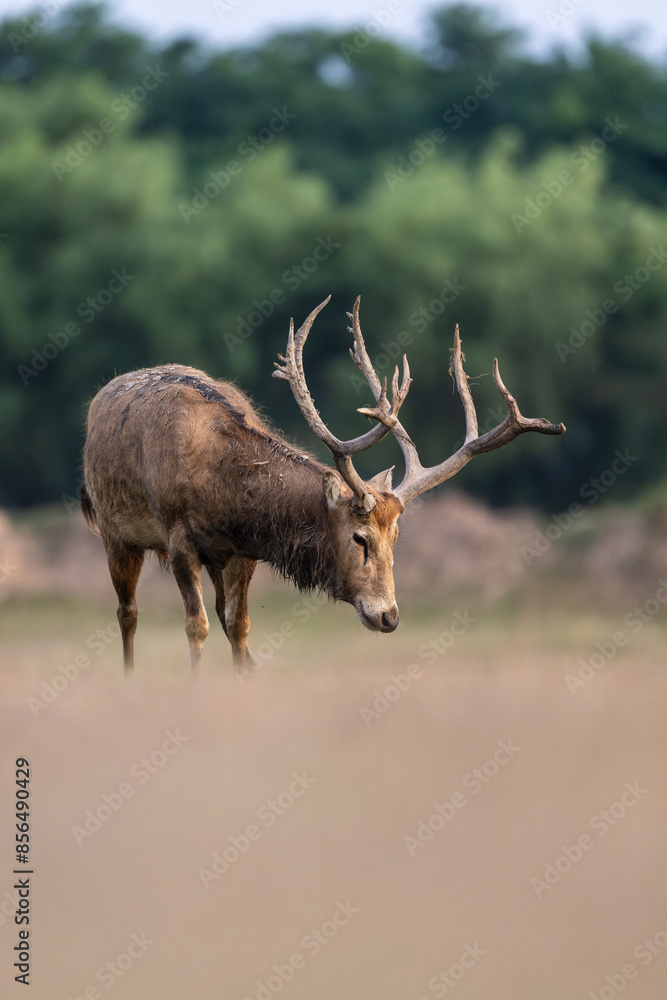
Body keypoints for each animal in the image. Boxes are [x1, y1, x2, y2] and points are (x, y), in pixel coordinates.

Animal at [80, 296, 565, 671]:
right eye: (359, 537)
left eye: (397, 538)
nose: (389, 616)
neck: (221, 491)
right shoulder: (179, 537)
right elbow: (194, 626)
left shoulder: (242, 552)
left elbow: (238, 624)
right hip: (113, 531)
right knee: (128, 613)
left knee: (214, 614)